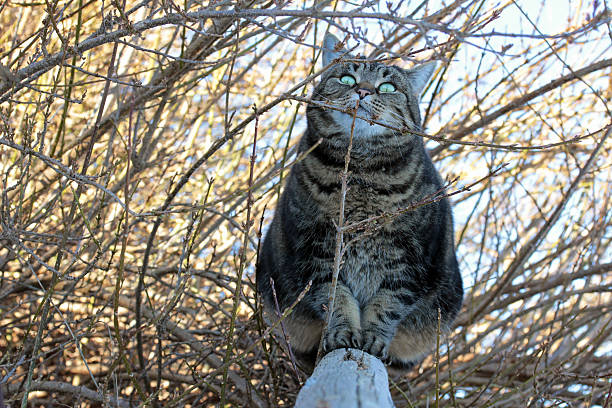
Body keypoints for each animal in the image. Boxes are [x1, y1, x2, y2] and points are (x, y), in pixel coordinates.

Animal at [256, 34, 462, 372]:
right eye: (347, 79)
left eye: (388, 87)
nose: (363, 90)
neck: (361, 172)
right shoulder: (319, 249)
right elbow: (334, 298)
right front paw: (343, 332)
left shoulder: (410, 260)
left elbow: (387, 305)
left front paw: (373, 338)